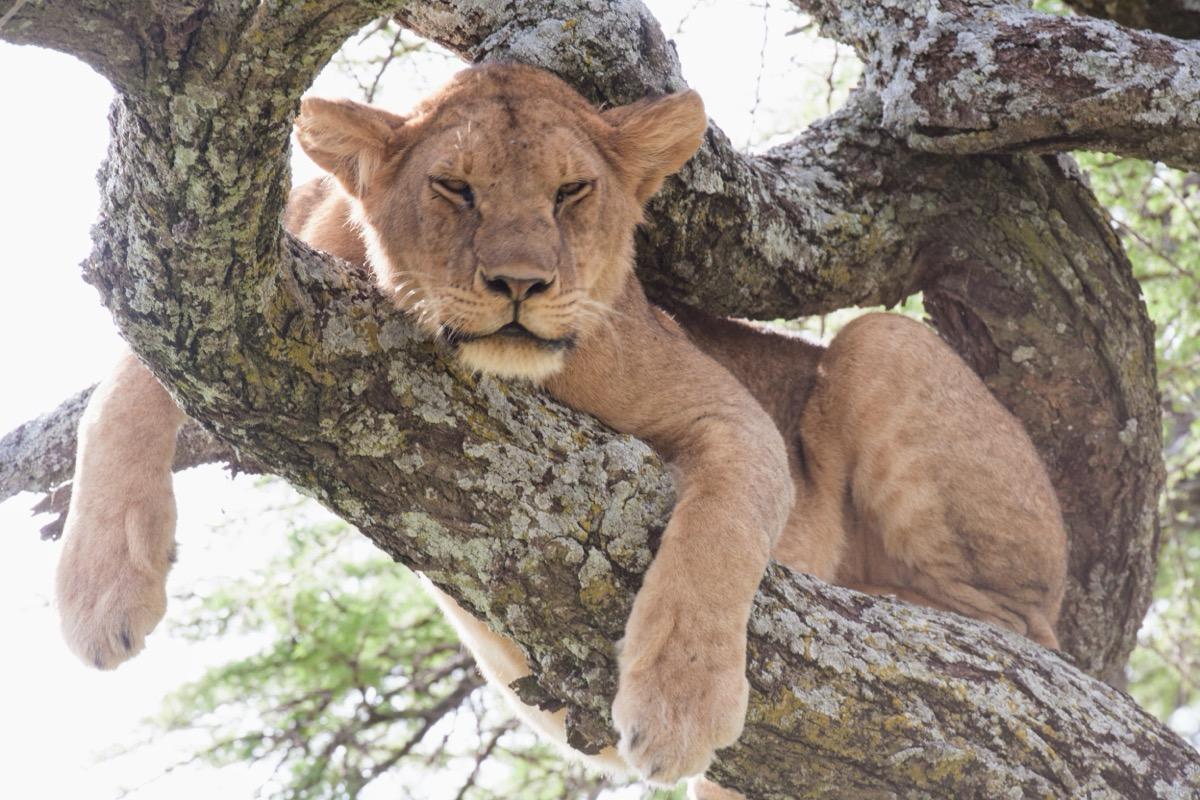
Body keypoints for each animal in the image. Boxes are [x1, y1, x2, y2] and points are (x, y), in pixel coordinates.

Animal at [55, 64, 1067, 798]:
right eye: (455, 188)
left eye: (573, 191)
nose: (519, 283)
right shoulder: (247, 285)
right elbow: (127, 384)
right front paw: (99, 591)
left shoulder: (729, 412)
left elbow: (719, 534)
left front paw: (679, 702)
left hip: (882, 344)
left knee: (1020, 631)